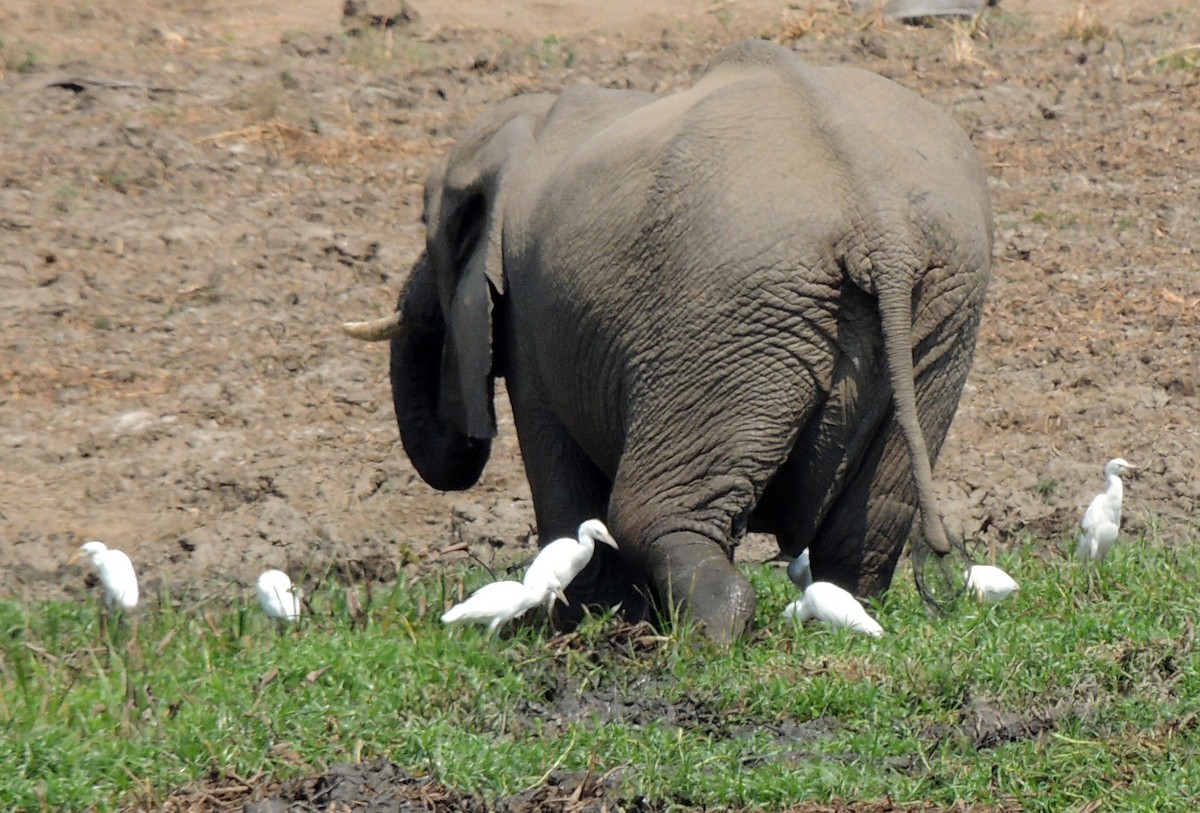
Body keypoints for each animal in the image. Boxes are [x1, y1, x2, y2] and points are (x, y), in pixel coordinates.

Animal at [345, 41, 993, 647]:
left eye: (433, 227)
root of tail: (882, 227)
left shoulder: (531, 316)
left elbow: (553, 453)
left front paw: (587, 623)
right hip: (940, 313)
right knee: (872, 519)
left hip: (728, 315)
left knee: (649, 516)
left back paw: (702, 639)